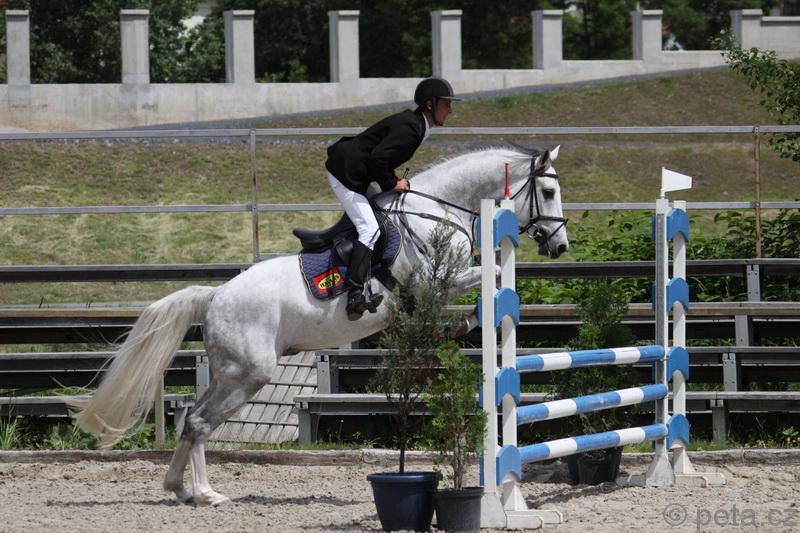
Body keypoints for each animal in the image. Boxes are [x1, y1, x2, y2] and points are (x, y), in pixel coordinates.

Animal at [69, 143, 570, 505]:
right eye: (547, 193)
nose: (559, 245)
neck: (439, 210)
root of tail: (215, 297)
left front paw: (464, 322)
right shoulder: (434, 281)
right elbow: (494, 273)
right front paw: (466, 319)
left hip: (231, 372)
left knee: (193, 419)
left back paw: (179, 489)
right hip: (249, 374)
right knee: (201, 423)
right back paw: (207, 494)